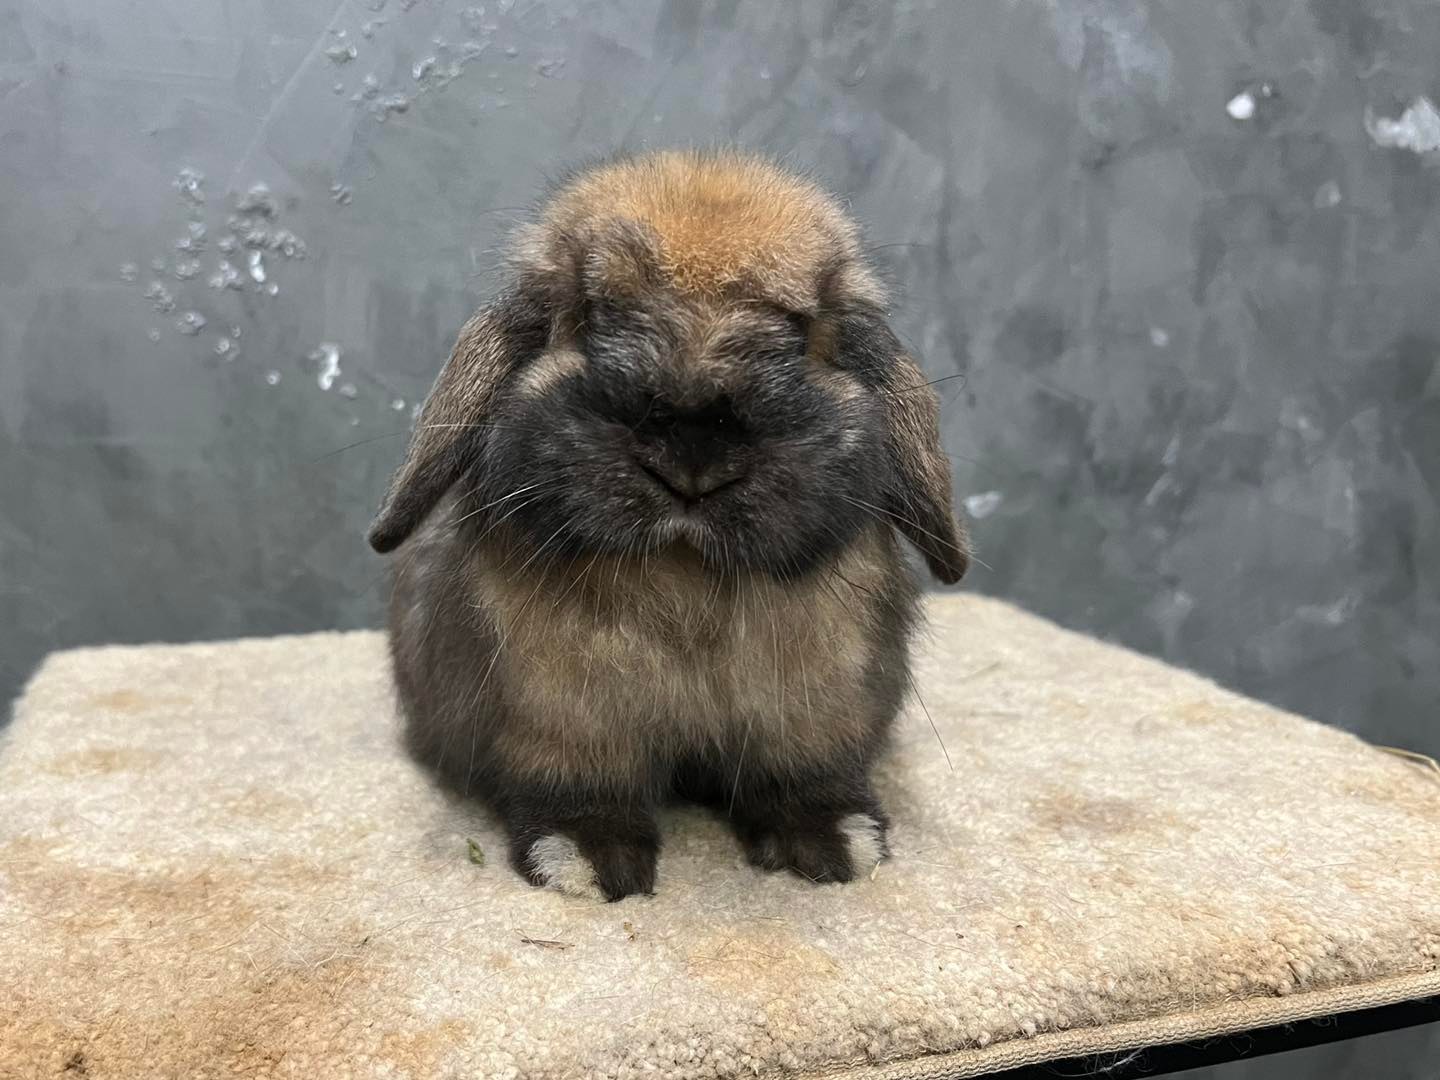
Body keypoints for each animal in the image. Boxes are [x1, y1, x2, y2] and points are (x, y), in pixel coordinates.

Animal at [368, 149, 970, 901]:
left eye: (800, 332)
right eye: (592, 313)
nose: (691, 451)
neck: (685, 571)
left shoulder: (817, 705)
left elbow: (805, 773)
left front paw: (835, 844)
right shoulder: (556, 714)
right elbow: (576, 786)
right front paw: (590, 861)